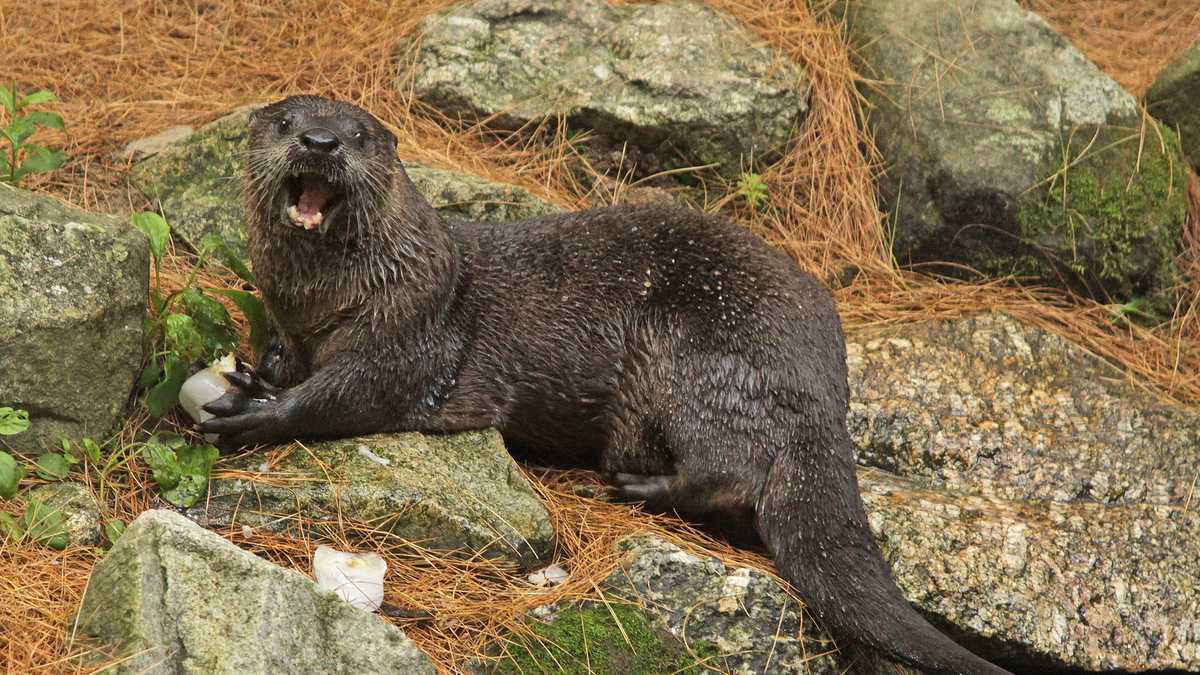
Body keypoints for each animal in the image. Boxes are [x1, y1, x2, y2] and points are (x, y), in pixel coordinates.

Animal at [200, 95, 1009, 675]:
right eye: (287, 120)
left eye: (361, 134)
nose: (320, 143)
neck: (334, 295)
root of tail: (824, 381)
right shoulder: (293, 321)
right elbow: (288, 360)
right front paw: (252, 372)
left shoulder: (410, 330)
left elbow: (354, 392)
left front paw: (251, 413)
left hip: (694, 357)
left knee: (730, 469)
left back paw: (635, 485)